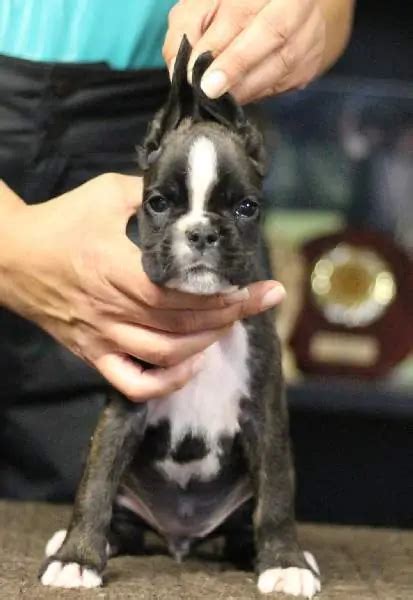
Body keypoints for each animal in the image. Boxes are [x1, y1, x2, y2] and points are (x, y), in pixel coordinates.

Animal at [39, 36, 318, 596]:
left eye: (247, 208)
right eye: (158, 203)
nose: (201, 233)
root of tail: (180, 539)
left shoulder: (265, 415)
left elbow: (277, 494)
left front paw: (286, 562)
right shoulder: (126, 410)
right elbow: (95, 483)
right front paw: (77, 557)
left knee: (245, 526)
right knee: (121, 519)